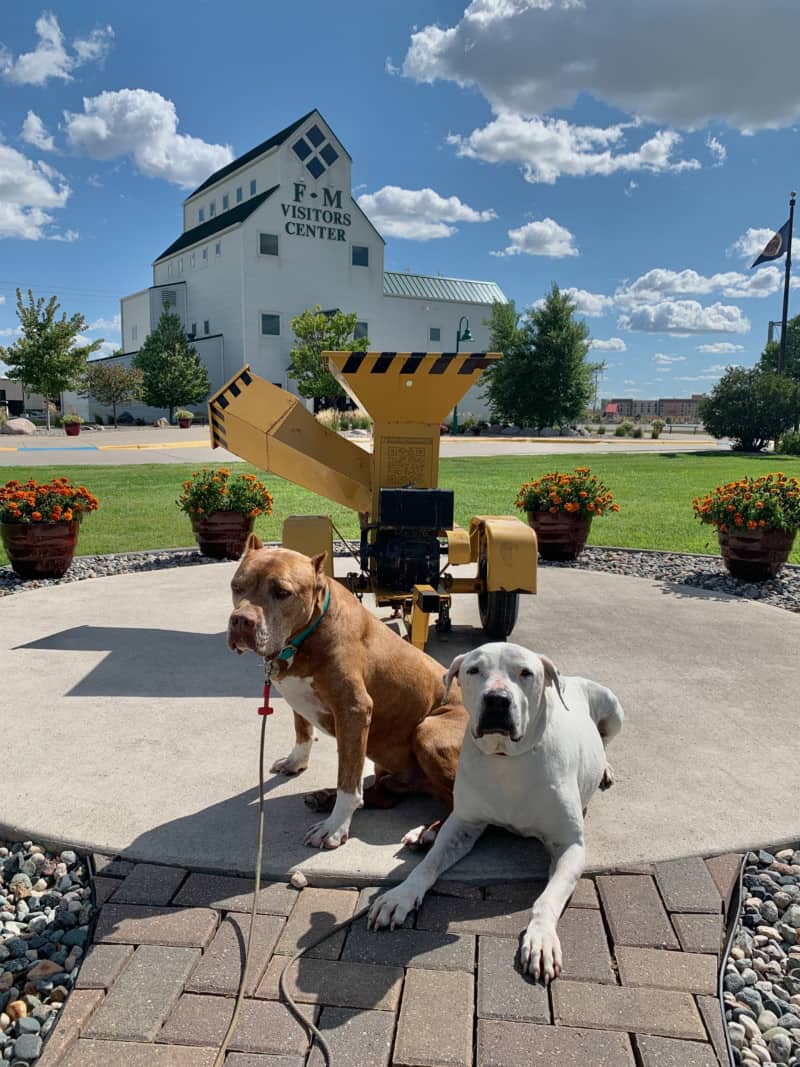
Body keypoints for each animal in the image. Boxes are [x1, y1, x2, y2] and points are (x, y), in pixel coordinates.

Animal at [228, 542, 467, 849]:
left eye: (282, 592)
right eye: (236, 586)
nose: (240, 621)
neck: (304, 637)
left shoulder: (353, 711)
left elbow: (349, 780)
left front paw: (335, 827)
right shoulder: (297, 697)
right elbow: (302, 731)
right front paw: (296, 762)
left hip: (428, 732)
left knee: (463, 803)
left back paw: (429, 831)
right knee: (384, 794)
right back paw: (325, 797)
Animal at [369, 640, 627, 981]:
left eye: (526, 672)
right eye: (474, 670)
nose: (497, 700)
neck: (506, 758)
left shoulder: (570, 846)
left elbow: (547, 899)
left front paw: (541, 939)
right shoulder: (463, 825)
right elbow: (427, 866)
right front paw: (400, 895)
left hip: (613, 709)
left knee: (606, 739)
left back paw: (606, 768)